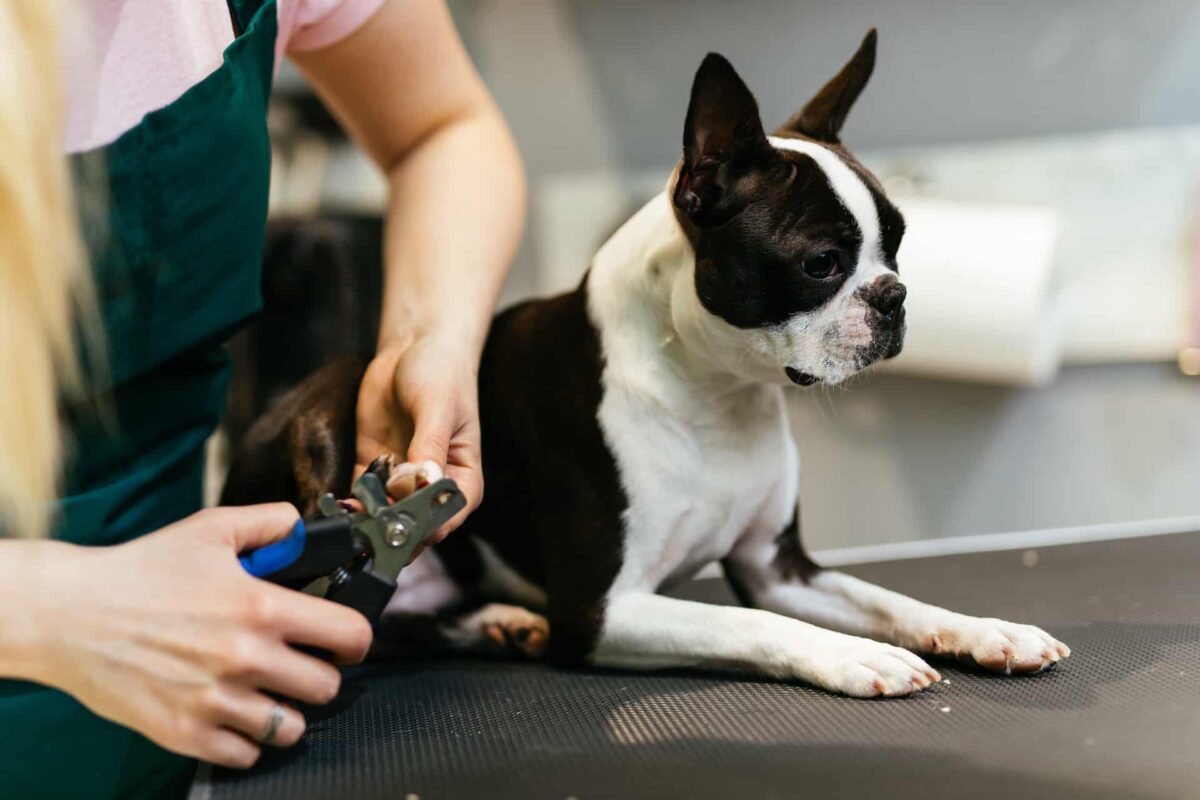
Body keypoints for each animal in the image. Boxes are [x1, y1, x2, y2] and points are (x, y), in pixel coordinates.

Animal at [225, 31, 1070, 695]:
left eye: (898, 243)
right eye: (822, 264)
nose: (894, 296)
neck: (720, 391)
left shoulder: (779, 568)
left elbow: (890, 600)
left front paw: (984, 629)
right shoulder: (604, 610)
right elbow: (748, 626)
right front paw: (856, 655)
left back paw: (502, 620)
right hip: (330, 410)